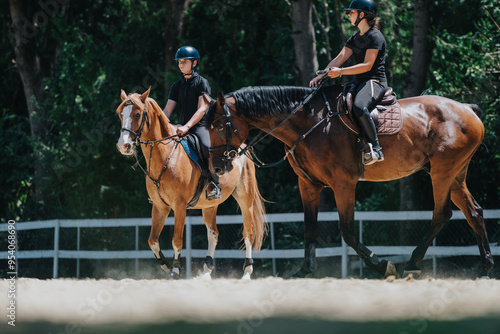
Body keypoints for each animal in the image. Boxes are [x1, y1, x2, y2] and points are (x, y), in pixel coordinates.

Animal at [115, 88, 268, 280]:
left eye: (137, 114)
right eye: (120, 114)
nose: (124, 145)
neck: (166, 156)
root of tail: (241, 147)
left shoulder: (179, 206)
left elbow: (177, 240)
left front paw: (175, 270)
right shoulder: (159, 206)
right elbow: (153, 241)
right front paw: (167, 266)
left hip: (245, 199)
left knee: (248, 232)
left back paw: (247, 272)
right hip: (210, 205)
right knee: (213, 234)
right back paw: (206, 270)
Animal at [204, 85, 492, 278]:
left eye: (219, 126)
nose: (216, 167)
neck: (310, 123)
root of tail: (467, 109)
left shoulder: (344, 184)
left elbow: (348, 231)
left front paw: (382, 265)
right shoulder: (308, 185)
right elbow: (310, 228)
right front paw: (305, 270)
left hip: (442, 173)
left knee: (442, 213)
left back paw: (411, 263)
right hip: (454, 175)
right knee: (474, 212)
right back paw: (485, 267)